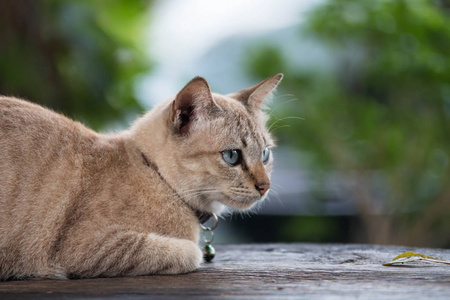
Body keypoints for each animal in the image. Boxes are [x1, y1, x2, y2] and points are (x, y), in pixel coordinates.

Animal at [0, 74, 282, 280]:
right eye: (232, 156)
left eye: (265, 154)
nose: (265, 186)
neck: (158, 179)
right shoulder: (89, 246)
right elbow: (191, 253)